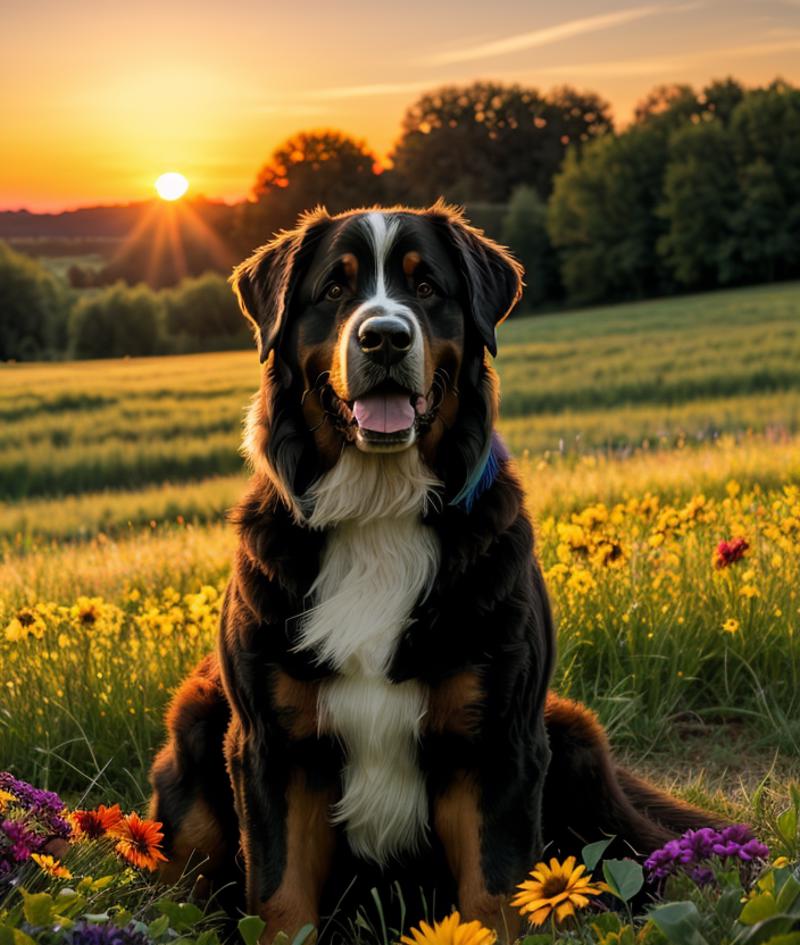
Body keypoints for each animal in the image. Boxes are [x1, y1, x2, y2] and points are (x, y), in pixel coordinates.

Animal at [148, 203, 712, 940]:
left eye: (426, 287)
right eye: (335, 289)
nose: (384, 337)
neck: (378, 513)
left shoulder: (500, 738)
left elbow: (496, 894)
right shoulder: (270, 743)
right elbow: (280, 897)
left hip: (573, 738)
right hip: (194, 731)